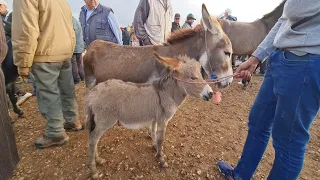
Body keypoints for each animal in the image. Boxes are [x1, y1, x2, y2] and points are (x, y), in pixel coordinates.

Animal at [86, 53, 214, 179]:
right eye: (193, 78)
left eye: (201, 75)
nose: (211, 93)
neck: (166, 94)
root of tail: (93, 92)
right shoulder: (163, 120)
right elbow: (161, 139)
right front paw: (161, 159)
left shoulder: (154, 119)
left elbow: (154, 133)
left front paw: (156, 149)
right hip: (105, 121)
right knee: (93, 139)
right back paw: (93, 170)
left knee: (93, 138)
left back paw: (98, 160)